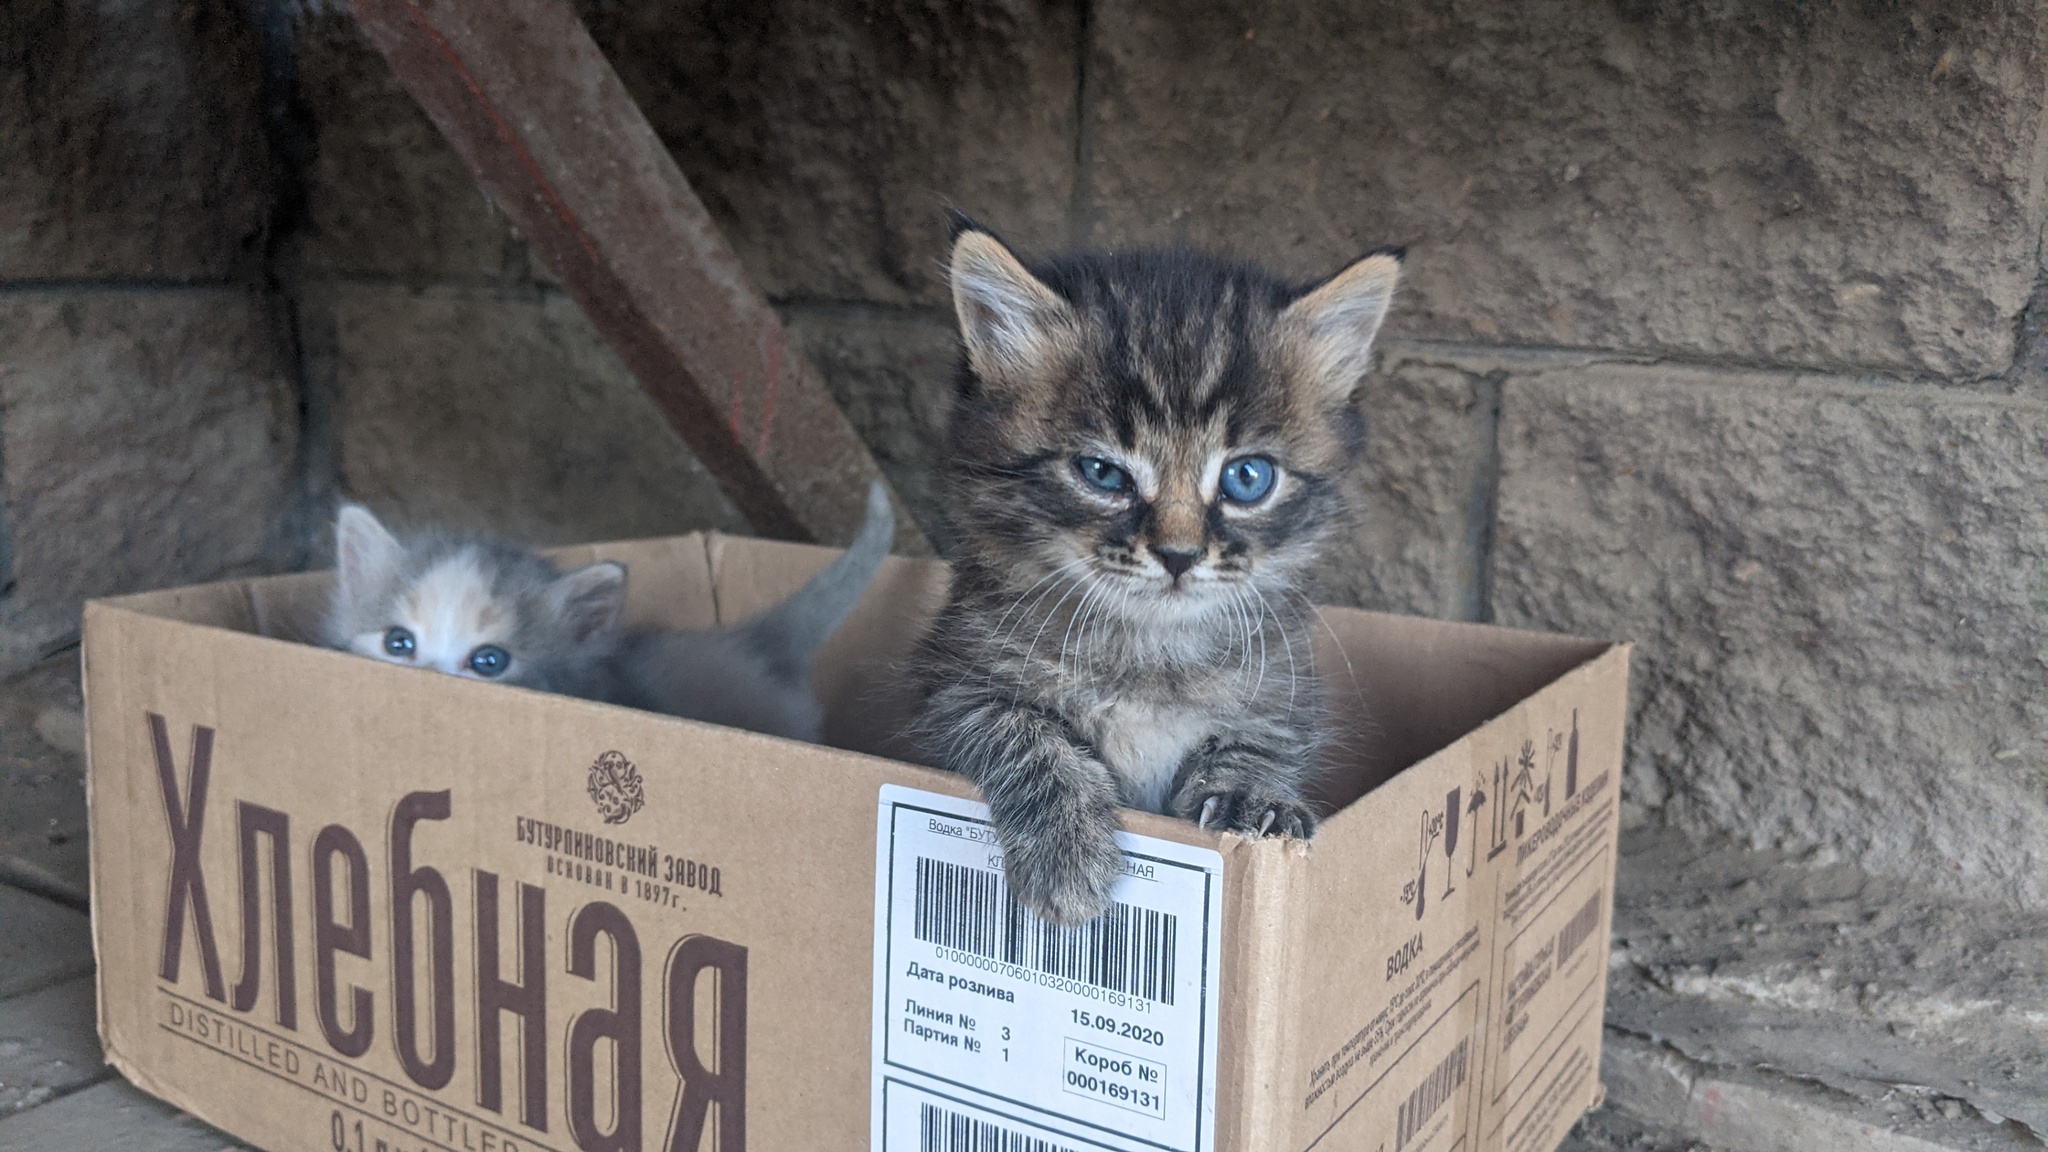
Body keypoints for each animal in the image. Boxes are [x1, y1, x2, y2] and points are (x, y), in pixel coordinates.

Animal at [917, 219, 1409, 922]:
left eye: (1247, 477)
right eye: (1102, 473)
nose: (1179, 554)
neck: (1152, 653)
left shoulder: (1283, 695)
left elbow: (1256, 745)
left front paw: (1253, 801)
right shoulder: (952, 681)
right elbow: (1019, 729)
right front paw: (1068, 850)